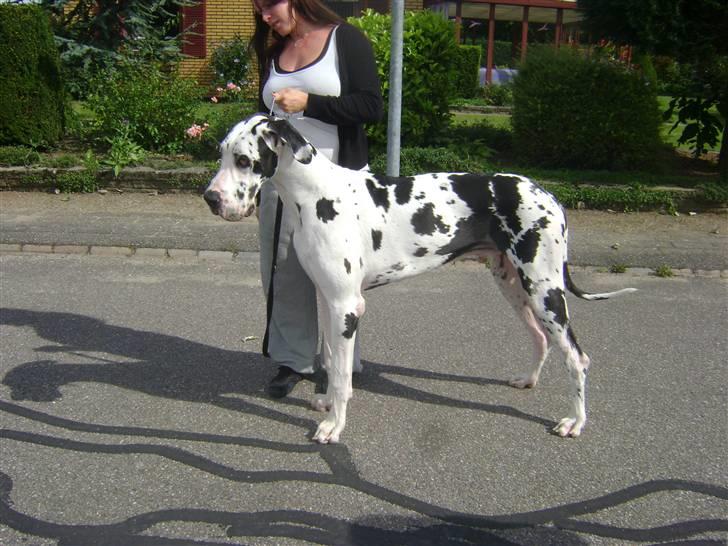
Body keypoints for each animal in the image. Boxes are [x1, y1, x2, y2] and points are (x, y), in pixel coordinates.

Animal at [202, 113, 636, 442]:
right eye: (221, 153)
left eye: (244, 160)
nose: (210, 198)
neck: (314, 195)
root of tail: (549, 195)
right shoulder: (328, 299)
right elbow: (330, 360)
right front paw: (327, 403)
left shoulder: (346, 306)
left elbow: (341, 373)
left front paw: (333, 425)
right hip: (514, 286)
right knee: (541, 338)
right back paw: (527, 380)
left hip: (545, 290)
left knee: (577, 357)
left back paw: (575, 421)